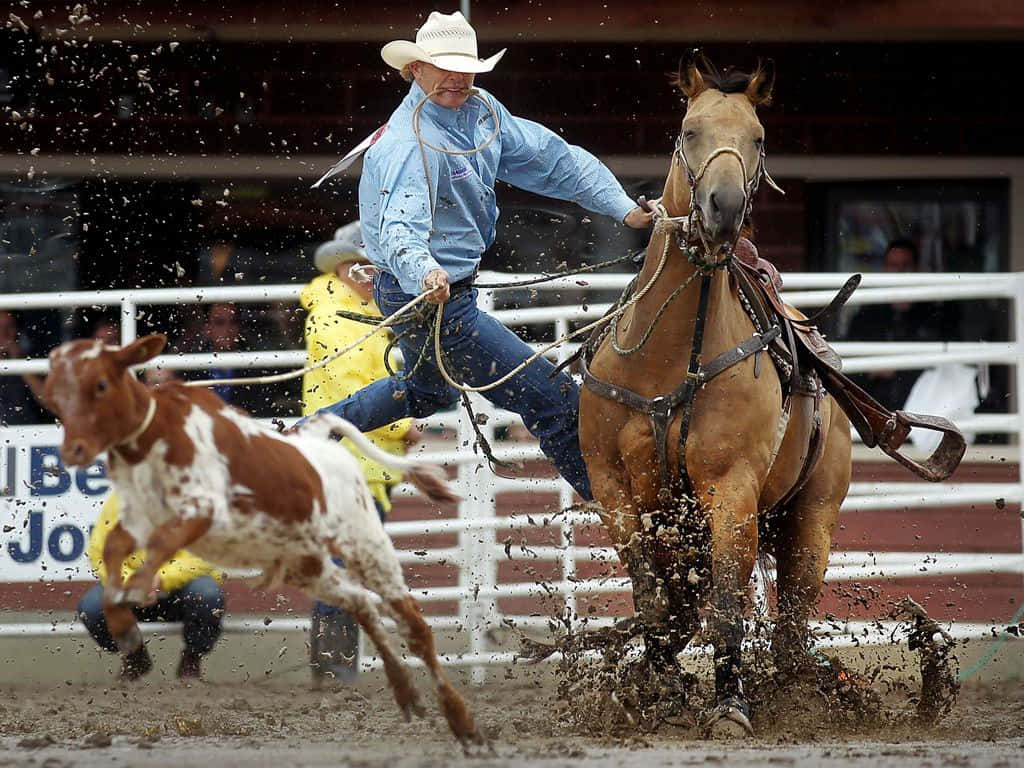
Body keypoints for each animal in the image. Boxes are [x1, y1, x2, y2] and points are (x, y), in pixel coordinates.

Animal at [578, 55, 853, 737]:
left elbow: (727, 608)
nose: (723, 207)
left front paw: (728, 704)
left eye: (758, 138)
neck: (670, 357)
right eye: (689, 129)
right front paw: (660, 691)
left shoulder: (731, 489)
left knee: (789, 631)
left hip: (811, 520)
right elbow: (655, 604)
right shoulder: (614, 488)